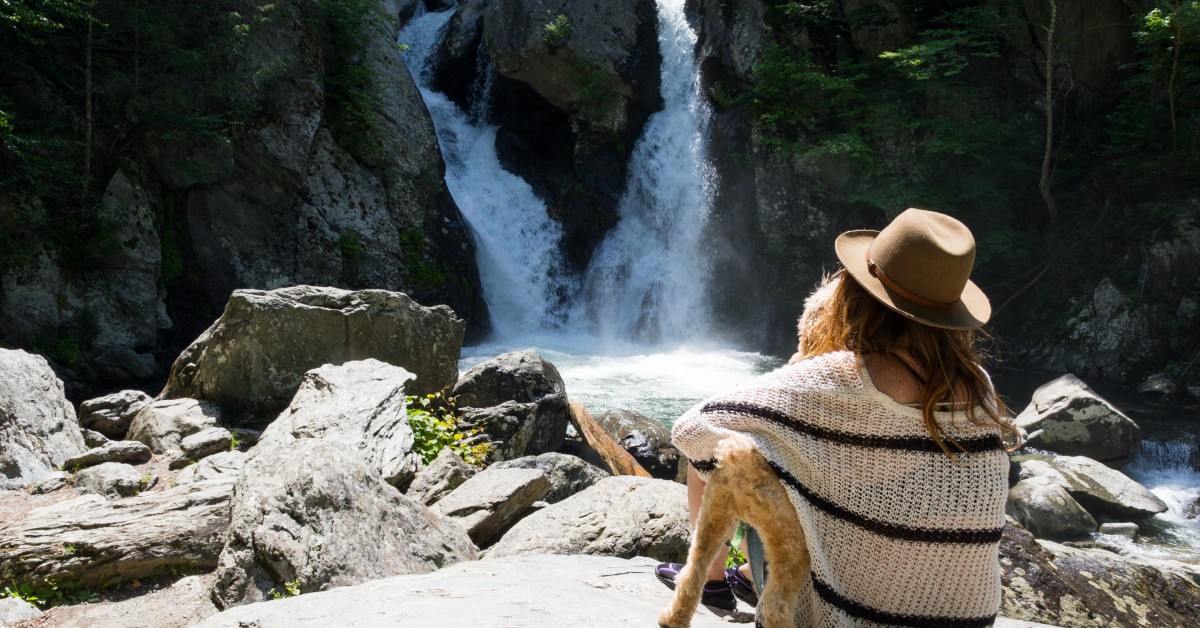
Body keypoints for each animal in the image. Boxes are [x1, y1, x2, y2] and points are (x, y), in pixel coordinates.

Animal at [657, 274, 835, 628]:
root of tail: (739, 459)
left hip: (714, 515)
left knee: (692, 573)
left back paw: (674, 617)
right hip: (791, 544)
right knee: (775, 605)